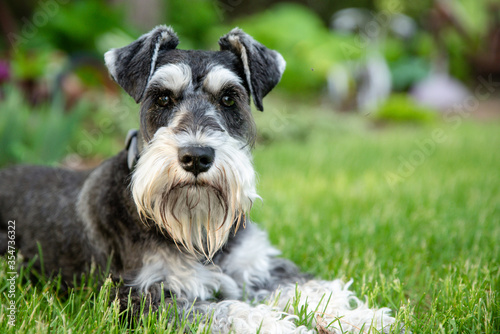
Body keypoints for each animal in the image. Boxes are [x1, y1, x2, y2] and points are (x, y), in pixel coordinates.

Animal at [0, 26, 398, 334]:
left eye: (229, 98)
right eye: (162, 97)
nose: (196, 156)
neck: (198, 231)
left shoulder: (261, 267)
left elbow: (308, 288)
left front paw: (360, 317)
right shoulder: (143, 298)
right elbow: (225, 310)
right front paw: (275, 324)